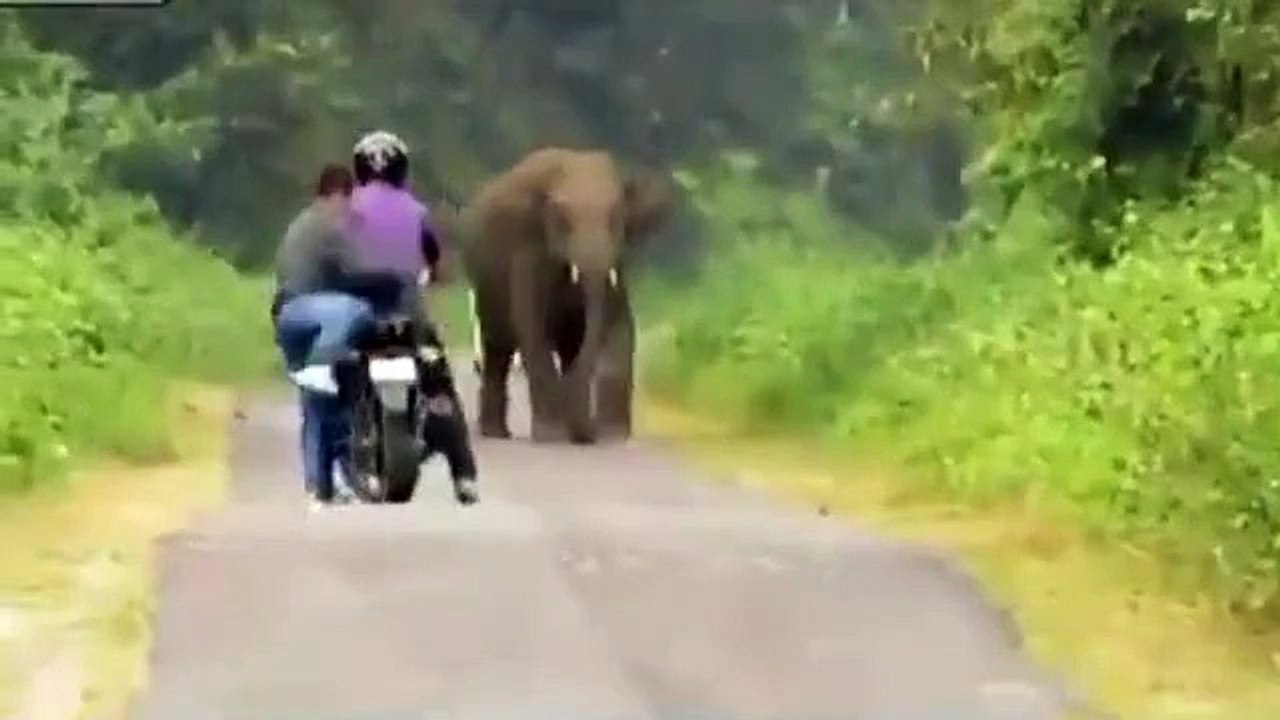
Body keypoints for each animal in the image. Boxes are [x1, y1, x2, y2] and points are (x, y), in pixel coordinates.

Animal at [457, 147, 673, 444]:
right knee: (497, 350)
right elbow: (533, 330)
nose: (587, 434)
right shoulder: (527, 251)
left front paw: (613, 436)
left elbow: (620, 328)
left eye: (616, 218)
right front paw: (552, 436)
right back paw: (496, 433)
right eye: (563, 220)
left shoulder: (617, 264)